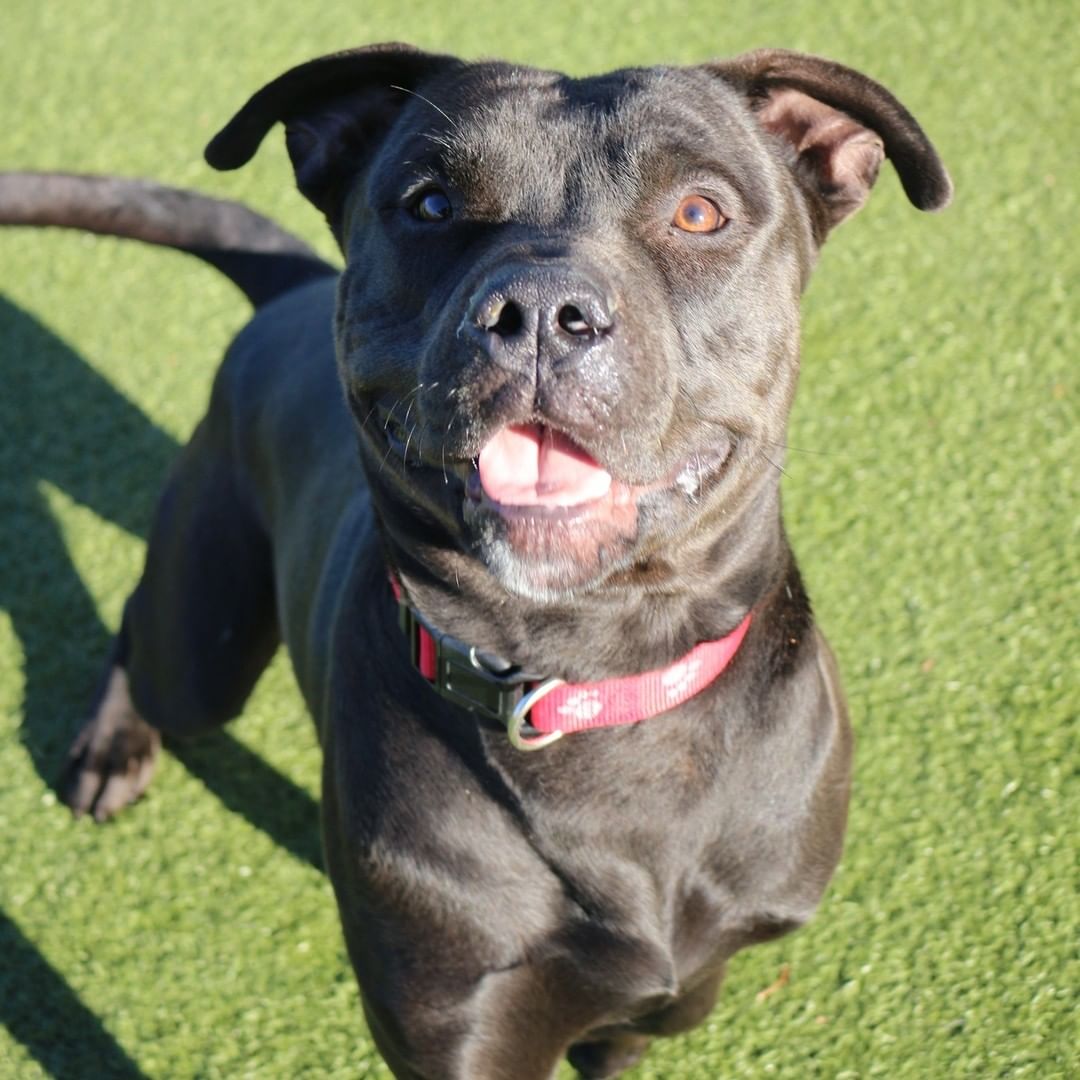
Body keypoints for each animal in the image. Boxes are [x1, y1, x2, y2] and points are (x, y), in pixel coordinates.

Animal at [0, 44, 950, 1080]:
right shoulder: (457, 1026)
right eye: (430, 204)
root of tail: (292, 290)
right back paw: (112, 745)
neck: (595, 677)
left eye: (700, 211)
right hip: (204, 641)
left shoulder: (667, 999)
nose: (538, 310)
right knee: (148, 632)